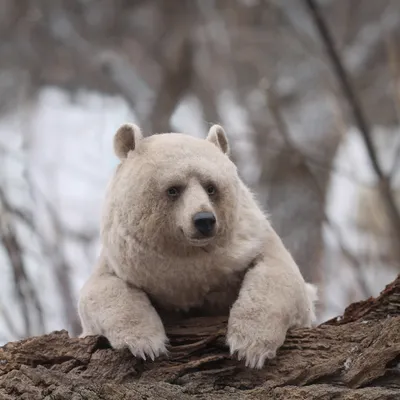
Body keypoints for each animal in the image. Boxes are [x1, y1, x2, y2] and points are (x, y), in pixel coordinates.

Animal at [77, 122, 316, 368]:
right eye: (173, 189)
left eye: (211, 187)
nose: (204, 220)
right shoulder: (125, 259)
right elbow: (99, 292)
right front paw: (146, 345)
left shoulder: (250, 239)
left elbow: (282, 277)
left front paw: (249, 347)